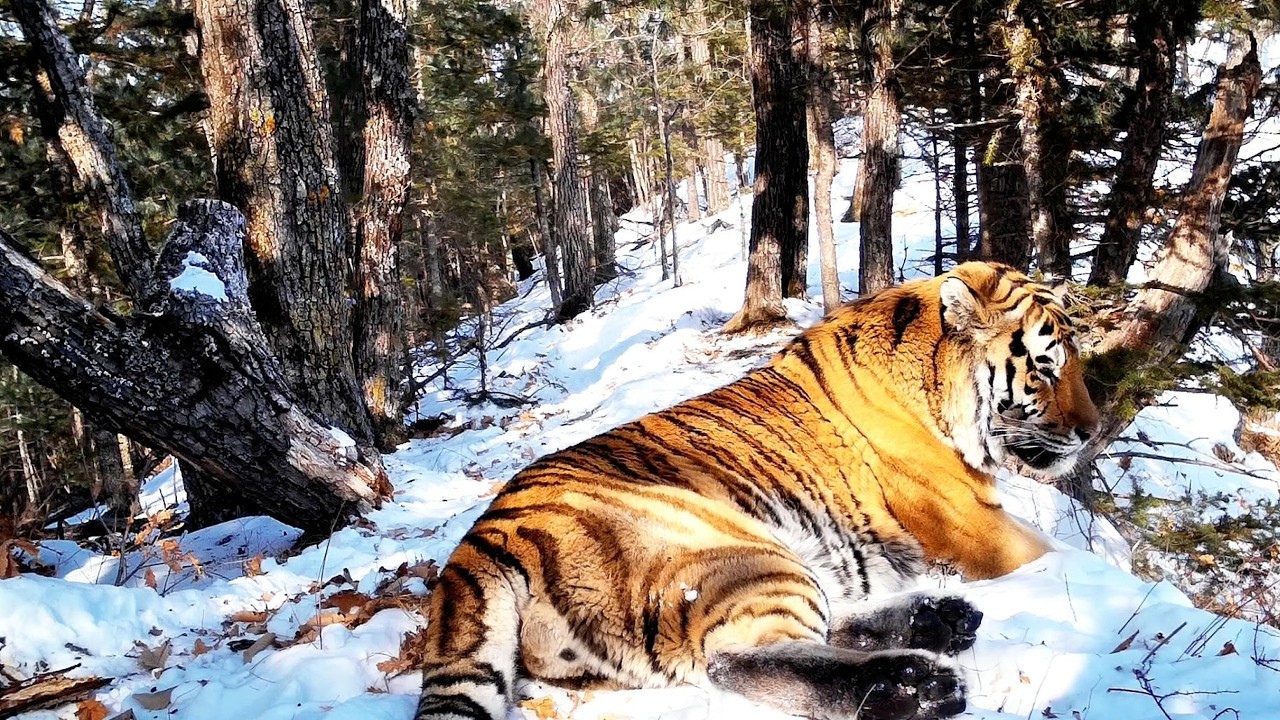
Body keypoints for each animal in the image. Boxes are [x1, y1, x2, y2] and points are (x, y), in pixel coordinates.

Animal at [415, 261, 1100, 720]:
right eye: (1045, 367)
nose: (1092, 432)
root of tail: (481, 539)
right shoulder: (981, 527)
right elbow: (1073, 559)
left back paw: (938, 618)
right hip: (734, 549)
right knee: (737, 657)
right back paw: (915, 682)